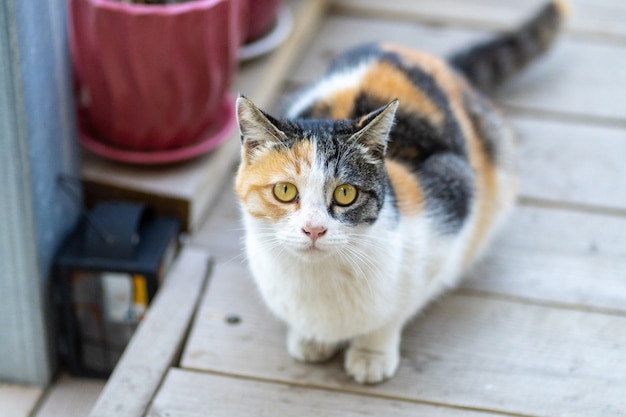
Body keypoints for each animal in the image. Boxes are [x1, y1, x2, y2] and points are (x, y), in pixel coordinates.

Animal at [233, 0, 564, 384]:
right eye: (285, 190)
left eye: (345, 194)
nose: (313, 229)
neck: (319, 277)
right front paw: (311, 338)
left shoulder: (449, 209)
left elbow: (396, 311)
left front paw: (371, 353)